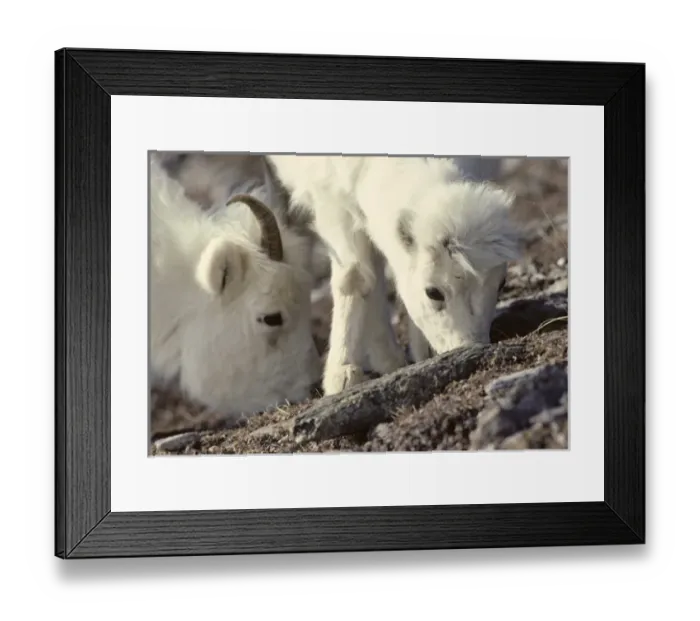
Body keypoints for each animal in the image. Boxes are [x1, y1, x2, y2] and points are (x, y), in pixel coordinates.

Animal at [266, 155, 524, 396]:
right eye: (433, 292)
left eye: (501, 284)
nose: (471, 347)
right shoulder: (333, 201)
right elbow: (354, 277)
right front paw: (342, 375)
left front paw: (422, 352)